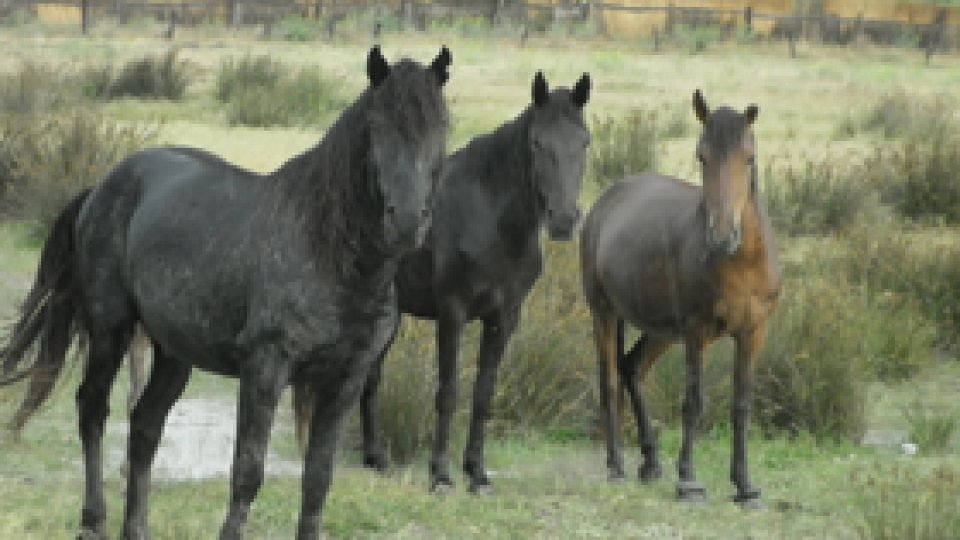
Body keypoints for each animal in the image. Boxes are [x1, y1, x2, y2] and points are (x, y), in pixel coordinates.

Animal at [1, 47, 452, 540]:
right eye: (375, 128)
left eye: (441, 127)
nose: (407, 222)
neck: (328, 253)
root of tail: (102, 187)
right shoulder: (265, 368)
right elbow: (248, 471)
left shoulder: (346, 380)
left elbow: (318, 478)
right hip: (111, 330)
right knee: (93, 410)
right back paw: (93, 520)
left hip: (173, 353)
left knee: (145, 426)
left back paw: (136, 527)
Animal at [294, 69, 592, 492]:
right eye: (538, 142)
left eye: (584, 142)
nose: (564, 220)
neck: (490, 220)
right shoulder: (453, 312)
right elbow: (448, 392)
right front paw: (441, 474)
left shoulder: (504, 317)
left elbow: (483, 393)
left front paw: (477, 472)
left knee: (371, 378)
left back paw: (376, 458)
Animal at [576, 90, 780, 508]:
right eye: (701, 155)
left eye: (749, 157)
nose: (723, 236)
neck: (742, 262)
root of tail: (606, 202)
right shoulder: (697, 333)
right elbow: (693, 402)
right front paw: (689, 481)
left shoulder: (753, 333)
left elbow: (741, 405)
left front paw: (745, 487)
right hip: (605, 313)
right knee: (609, 380)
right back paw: (617, 465)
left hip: (661, 332)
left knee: (632, 368)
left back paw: (651, 462)